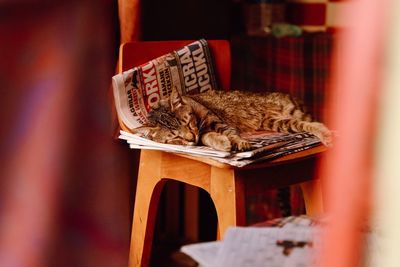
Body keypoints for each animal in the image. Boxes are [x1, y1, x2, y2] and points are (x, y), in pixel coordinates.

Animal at [131, 88, 332, 153]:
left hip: (291, 115)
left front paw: (238, 142)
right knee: (311, 124)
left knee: (314, 123)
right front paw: (222, 143)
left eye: (187, 122)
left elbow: (230, 133)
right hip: (279, 122)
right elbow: (207, 138)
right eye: (174, 138)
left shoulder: (215, 121)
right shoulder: (202, 135)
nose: (190, 137)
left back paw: (328, 135)